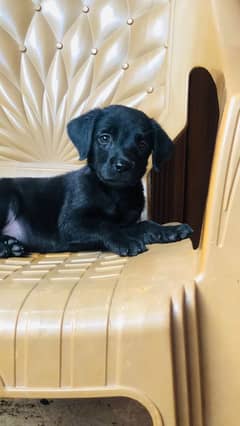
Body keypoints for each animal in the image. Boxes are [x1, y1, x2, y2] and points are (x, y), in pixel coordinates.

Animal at [0, 105, 192, 258]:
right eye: (104, 138)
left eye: (142, 143)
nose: (122, 165)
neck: (114, 193)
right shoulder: (72, 222)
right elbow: (104, 226)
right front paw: (126, 242)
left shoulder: (127, 222)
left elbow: (144, 224)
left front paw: (169, 231)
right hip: (8, 198)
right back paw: (6, 247)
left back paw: (10, 245)